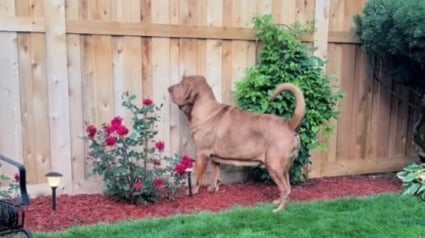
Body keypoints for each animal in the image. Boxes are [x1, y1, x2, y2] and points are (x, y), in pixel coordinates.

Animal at [167, 75, 304, 212]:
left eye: (181, 83)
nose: (168, 88)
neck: (206, 109)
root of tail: (289, 124)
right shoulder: (214, 158)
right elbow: (215, 174)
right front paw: (213, 189)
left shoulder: (201, 153)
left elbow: (198, 177)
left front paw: (193, 191)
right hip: (284, 169)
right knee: (288, 187)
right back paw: (278, 202)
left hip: (274, 166)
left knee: (285, 189)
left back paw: (279, 210)